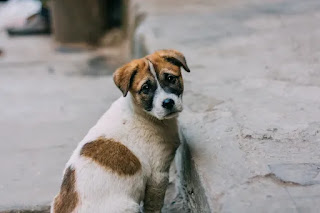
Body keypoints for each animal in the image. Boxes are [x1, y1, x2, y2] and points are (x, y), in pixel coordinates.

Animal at [50, 49, 190, 213]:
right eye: (146, 88)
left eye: (170, 78)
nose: (168, 103)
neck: (143, 114)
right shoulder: (158, 175)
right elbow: (153, 206)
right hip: (129, 206)